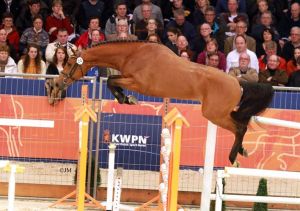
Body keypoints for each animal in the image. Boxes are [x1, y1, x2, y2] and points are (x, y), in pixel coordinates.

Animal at [45, 39, 274, 165]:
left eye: (70, 63)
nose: (57, 83)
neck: (134, 53)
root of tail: (238, 82)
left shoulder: (138, 83)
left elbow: (111, 81)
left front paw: (127, 99)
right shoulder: (128, 77)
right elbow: (112, 81)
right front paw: (126, 98)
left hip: (214, 114)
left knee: (240, 127)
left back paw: (233, 157)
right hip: (219, 113)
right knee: (242, 123)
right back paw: (242, 151)